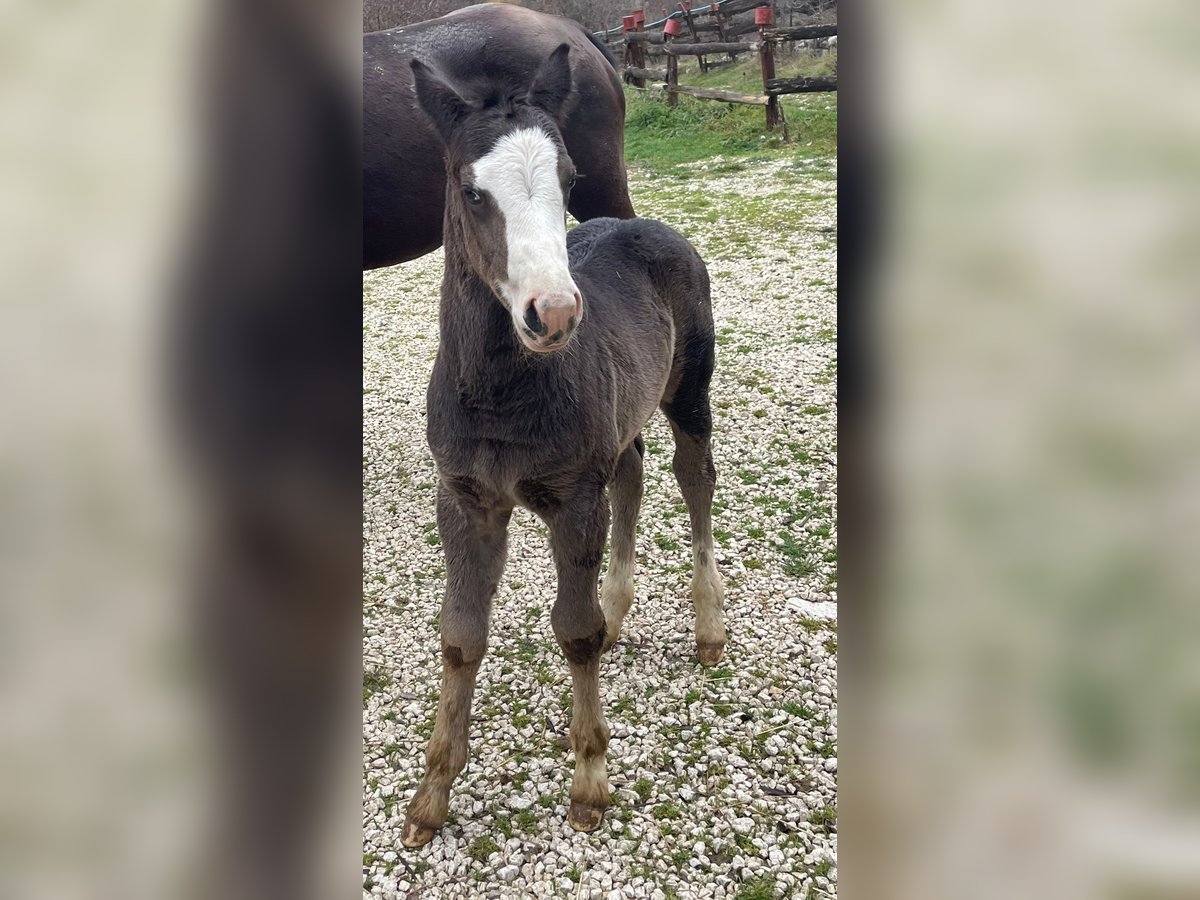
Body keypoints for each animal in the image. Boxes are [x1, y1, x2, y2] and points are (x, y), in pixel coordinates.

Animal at [399, 42, 727, 847]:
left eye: (570, 179)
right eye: (470, 190)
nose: (552, 313)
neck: (500, 393)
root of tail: (657, 227)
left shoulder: (573, 496)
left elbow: (573, 632)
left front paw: (589, 783)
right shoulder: (466, 498)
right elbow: (460, 634)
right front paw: (431, 797)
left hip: (690, 391)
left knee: (694, 477)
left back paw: (708, 626)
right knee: (633, 473)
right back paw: (622, 614)